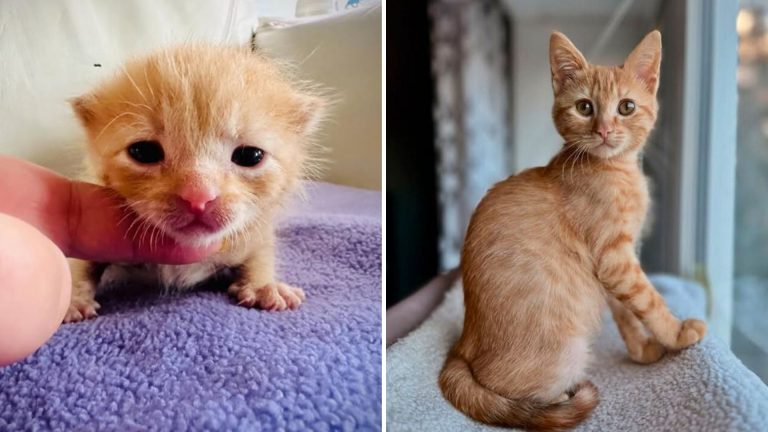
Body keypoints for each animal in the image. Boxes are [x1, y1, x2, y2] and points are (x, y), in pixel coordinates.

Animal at [64, 44, 326, 320]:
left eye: (250, 156)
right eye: (143, 152)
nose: (198, 196)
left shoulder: (253, 229)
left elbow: (261, 251)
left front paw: (264, 285)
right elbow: (79, 260)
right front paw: (71, 297)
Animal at [438, 31, 708, 432]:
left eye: (626, 107)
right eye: (584, 107)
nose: (604, 130)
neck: (616, 171)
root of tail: (461, 348)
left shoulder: (614, 267)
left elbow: (627, 314)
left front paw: (642, 350)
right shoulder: (616, 260)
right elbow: (650, 301)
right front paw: (676, 334)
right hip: (566, 353)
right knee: (520, 401)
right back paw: (563, 399)